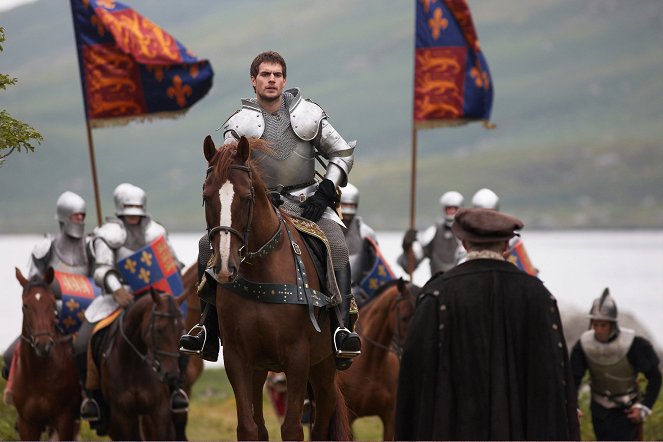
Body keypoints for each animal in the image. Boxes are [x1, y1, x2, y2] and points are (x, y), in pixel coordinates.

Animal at [11, 268, 80, 440]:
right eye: (25, 305)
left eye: (52, 303)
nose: (44, 345)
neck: (38, 376)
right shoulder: (27, 424)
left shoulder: (64, 420)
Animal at [96, 290, 185, 438]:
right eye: (159, 329)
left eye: (182, 330)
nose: (171, 376)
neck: (133, 365)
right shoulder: (121, 415)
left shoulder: (159, 411)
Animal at [204, 136, 352, 440]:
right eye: (206, 197)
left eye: (246, 198)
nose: (224, 266)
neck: (261, 271)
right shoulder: (238, 358)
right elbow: (248, 428)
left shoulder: (297, 357)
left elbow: (292, 428)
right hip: (262, 368)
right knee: (260, 425)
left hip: (323, 367)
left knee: (322, 422)